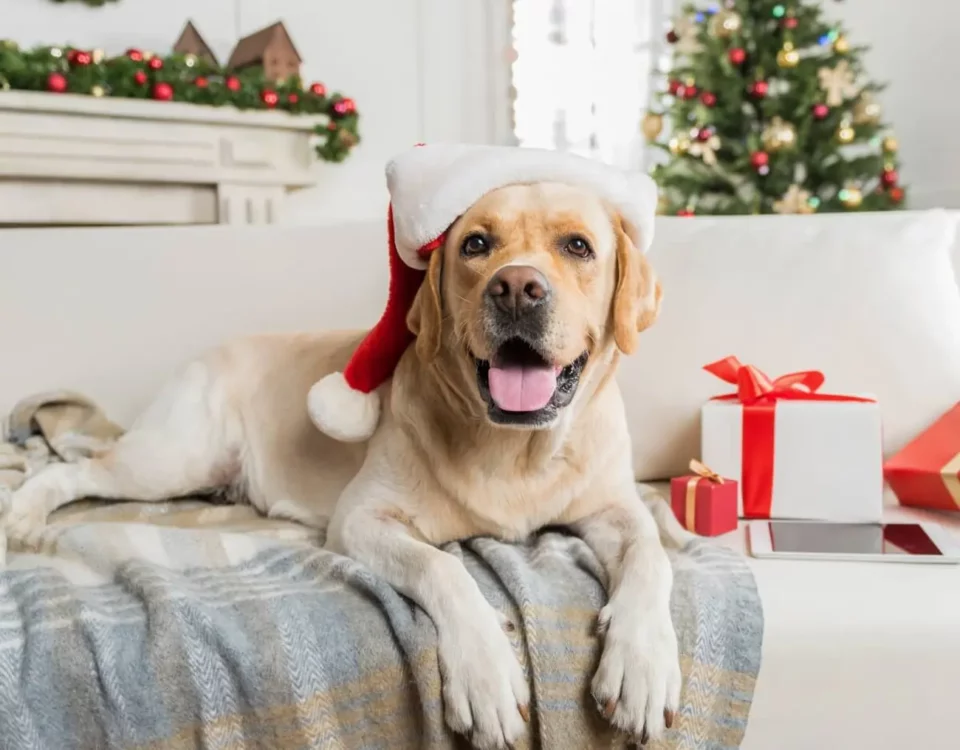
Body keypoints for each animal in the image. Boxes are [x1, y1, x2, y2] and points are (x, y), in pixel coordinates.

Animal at [7, 182, 684, 750]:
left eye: (578, 246)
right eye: (476, 244)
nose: (516, 286)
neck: (515, 449)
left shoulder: (614, 507)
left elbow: (652, 555)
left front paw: (643, 663)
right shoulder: (362, 518)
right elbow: (443, 567)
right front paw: (486, 674)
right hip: (172, 459)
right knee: (75, 470)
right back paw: (22, 514)